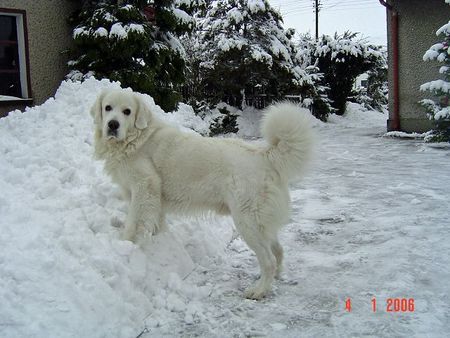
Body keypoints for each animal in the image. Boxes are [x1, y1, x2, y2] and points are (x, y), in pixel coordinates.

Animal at [90, 88, 312, 300]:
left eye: (127, 111)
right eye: (108, 108)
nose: (112, 125)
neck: (136, 139)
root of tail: (266, 156)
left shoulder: (145, 186)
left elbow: (133, 222)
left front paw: (125, 244)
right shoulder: (153, 198)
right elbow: (156, 223)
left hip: (248, 222)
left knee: (269, 260)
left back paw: (259, 291)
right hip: (261, 223)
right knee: (278, 250)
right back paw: (274, 279)